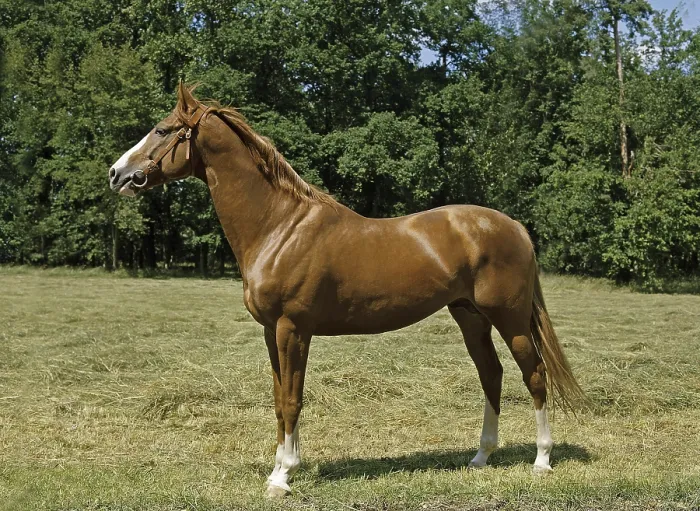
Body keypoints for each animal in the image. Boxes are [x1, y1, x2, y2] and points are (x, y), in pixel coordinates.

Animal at [108, 83, 585, 498]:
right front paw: (279, 467)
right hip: (469, 316)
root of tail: (516, 227)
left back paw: (542, 460)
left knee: (534, 374)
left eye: (163, 130)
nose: (116, 174)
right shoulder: (271, 332)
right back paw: (481, 456)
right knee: (492, 374)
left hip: (510, 319)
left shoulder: (293, 330)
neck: (280, 227)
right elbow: (279, 400)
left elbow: (293, 399)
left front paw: (283, 477)